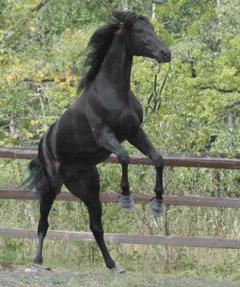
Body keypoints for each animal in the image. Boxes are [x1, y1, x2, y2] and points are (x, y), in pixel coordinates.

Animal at [26, 10, 171, 272]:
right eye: (140, 31)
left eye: (153, 29)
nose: (166, 53)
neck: (113, 92)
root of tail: (42, 147)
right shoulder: (105, 135)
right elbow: (124, 157)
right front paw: (126, 199)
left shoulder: (135, 132)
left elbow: (157, 159)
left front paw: (157, 203)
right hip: (51, 186)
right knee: (43, 222)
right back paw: (38, 262)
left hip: (89, 191)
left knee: (96, 227)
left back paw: (113, 265)